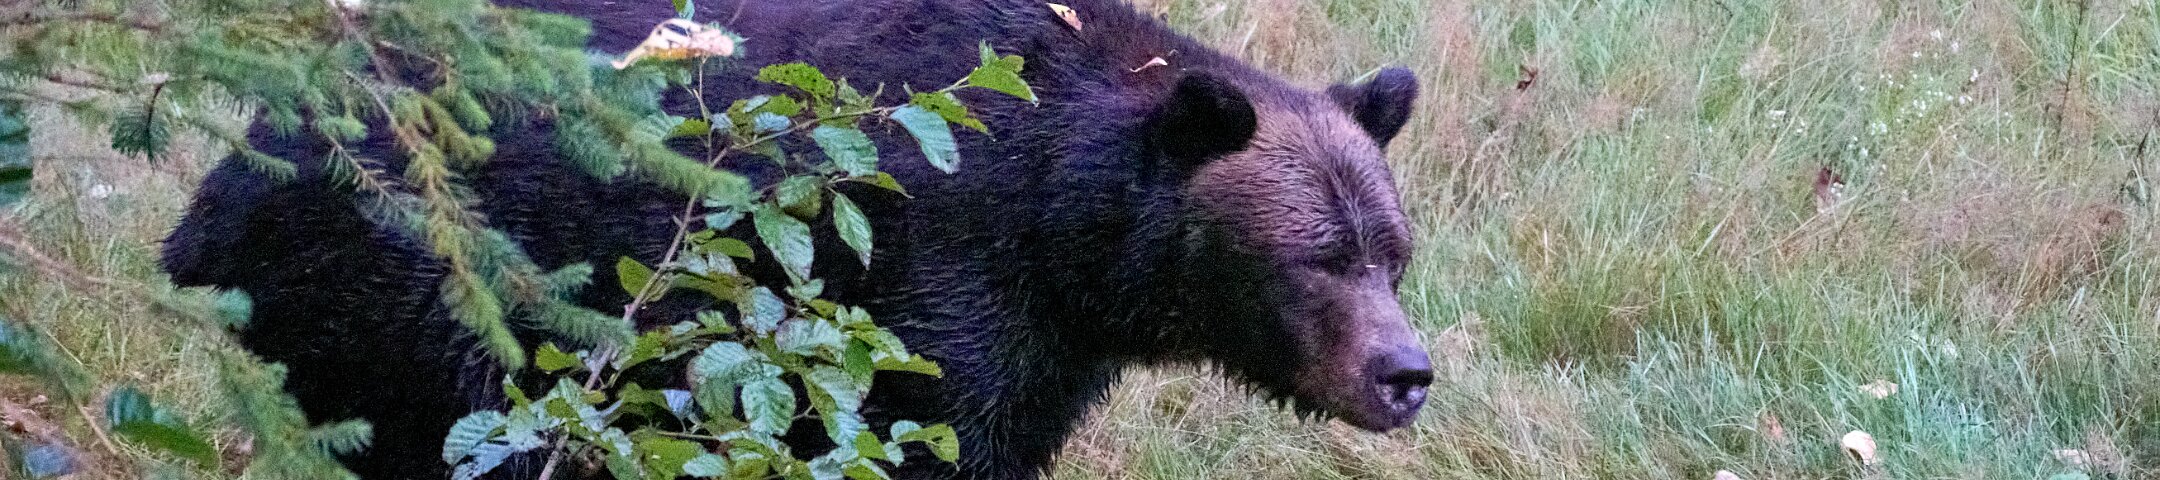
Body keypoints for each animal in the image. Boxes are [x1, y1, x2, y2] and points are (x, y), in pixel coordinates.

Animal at [158, 0, 1432, 478]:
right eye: (1316, 255)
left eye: (1392, 249)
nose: (1405, 373)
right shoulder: (931, 280)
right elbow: (927, 435)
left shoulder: (1050, 347)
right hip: (429, 295)